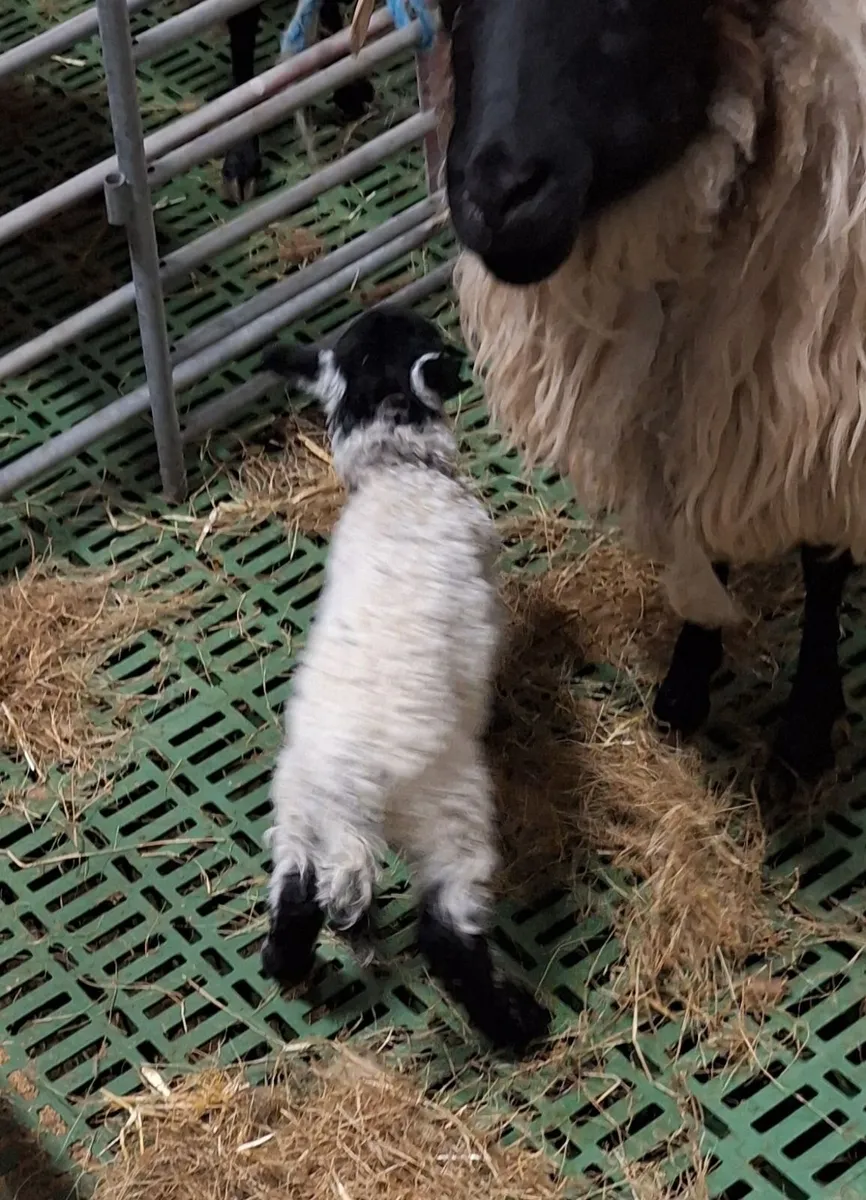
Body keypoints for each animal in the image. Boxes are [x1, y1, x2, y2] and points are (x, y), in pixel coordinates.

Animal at [258, 306, 551, 1054]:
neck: (398, 476)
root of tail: (348, 793)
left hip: (299, 815)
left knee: (294, 899)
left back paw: (291, 971)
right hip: (448, 814)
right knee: (445, 933)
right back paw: (516, 1028)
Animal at [441, 0, 866, 789]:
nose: (498, 194)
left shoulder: (829, 394)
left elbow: (822, 564)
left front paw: (805, 730)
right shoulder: (698, 389)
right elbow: (700, 528)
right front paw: (687, 682)